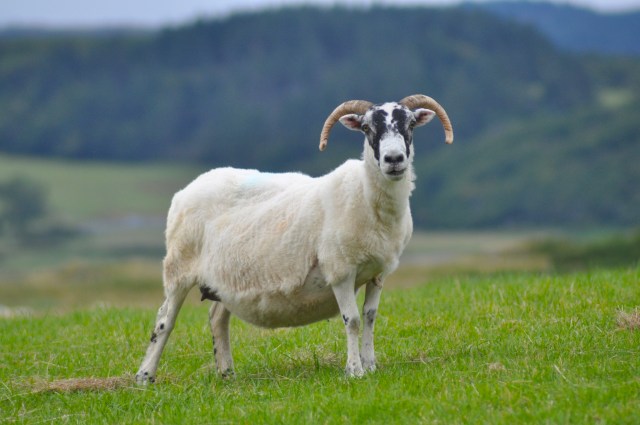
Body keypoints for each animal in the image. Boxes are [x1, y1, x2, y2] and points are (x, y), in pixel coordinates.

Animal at [135, 94, 454, 382]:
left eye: (410, 124)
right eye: (366, 128)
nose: (394, 159)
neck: (366, 197)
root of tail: (184, 191)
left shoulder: (378, 273)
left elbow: (370, 317)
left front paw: (371, 364)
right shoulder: (340, 271)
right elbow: (351, 320)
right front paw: (354, 371)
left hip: (225, 279)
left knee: (217, 319)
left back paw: (227, 374)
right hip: (179, 266)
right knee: (164, 321)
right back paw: (145, 377)